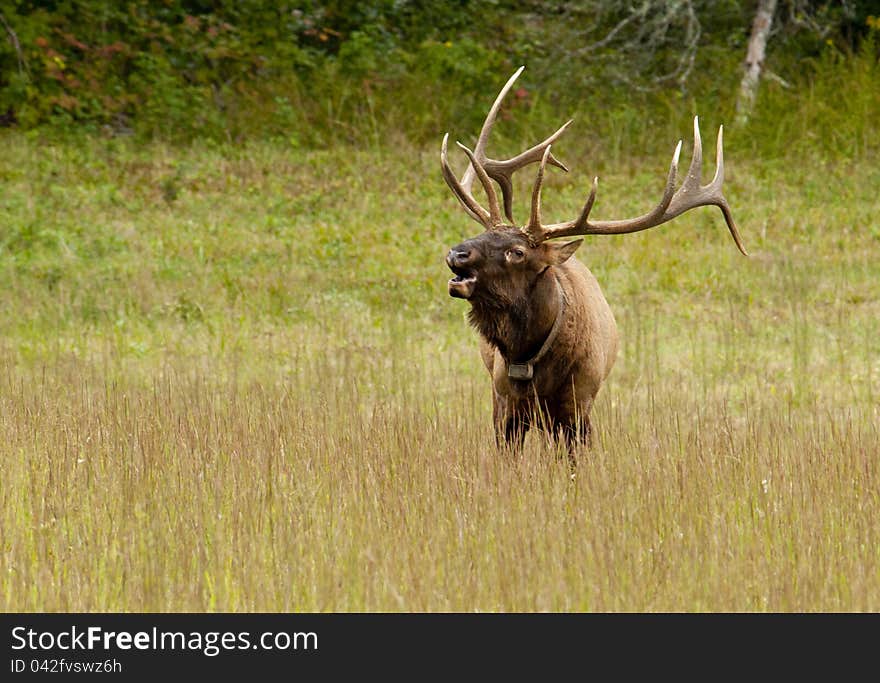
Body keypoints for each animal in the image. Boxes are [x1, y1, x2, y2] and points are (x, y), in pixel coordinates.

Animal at [444, 68, 744, 454]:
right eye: (482, 233)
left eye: (518, 251)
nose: (456, 253)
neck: (532, 364)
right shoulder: (504, 405)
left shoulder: (579, 407)